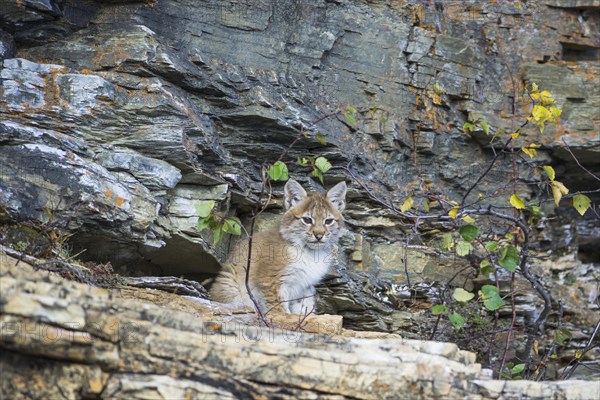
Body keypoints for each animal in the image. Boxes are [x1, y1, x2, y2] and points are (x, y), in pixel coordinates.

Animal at [210, 180, 346, 314]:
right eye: (307, 220)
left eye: (328, 221)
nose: (319, 235)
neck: (310, 252)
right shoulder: (271, 279)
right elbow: (278, 308)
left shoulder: (305, 285)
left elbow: (304, 307)